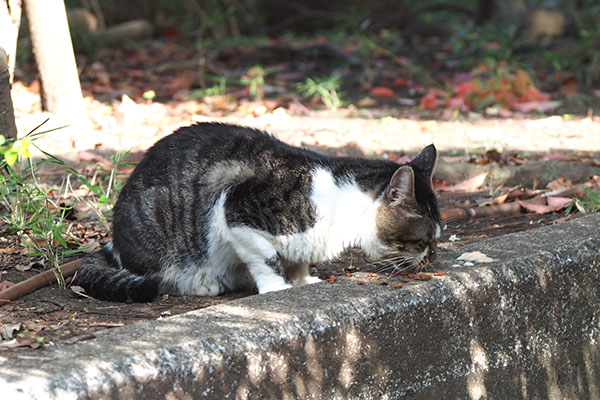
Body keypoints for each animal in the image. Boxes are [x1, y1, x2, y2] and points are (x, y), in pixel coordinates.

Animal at [75, 123, 440, 302]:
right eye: (424, 240)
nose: (433, 257)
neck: (340, 200)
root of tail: (113, 241)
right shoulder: (235, 210)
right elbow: (266, 258)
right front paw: (278, 286)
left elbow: (297, 259)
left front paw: (303, 279)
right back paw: (202, 284)